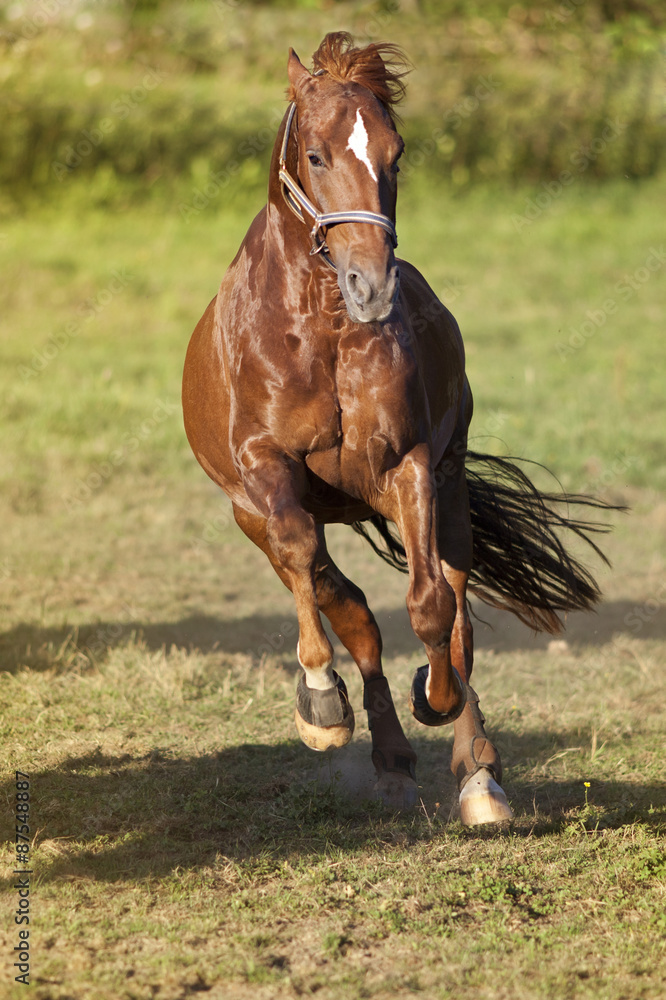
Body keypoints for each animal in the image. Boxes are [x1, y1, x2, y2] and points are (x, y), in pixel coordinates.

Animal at [182, 32, 611, 825]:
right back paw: (385, 759)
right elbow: (316, 571)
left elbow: (433, 606)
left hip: (447, 492)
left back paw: (475, 771)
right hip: (252, 515)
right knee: (343, 604)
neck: (319, 329)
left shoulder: (407, 466)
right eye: (316, 155)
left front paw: (438, 706)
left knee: (455, 609)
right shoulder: (263, 470)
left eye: (396, 153)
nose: (372, 285)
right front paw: (321, 706)